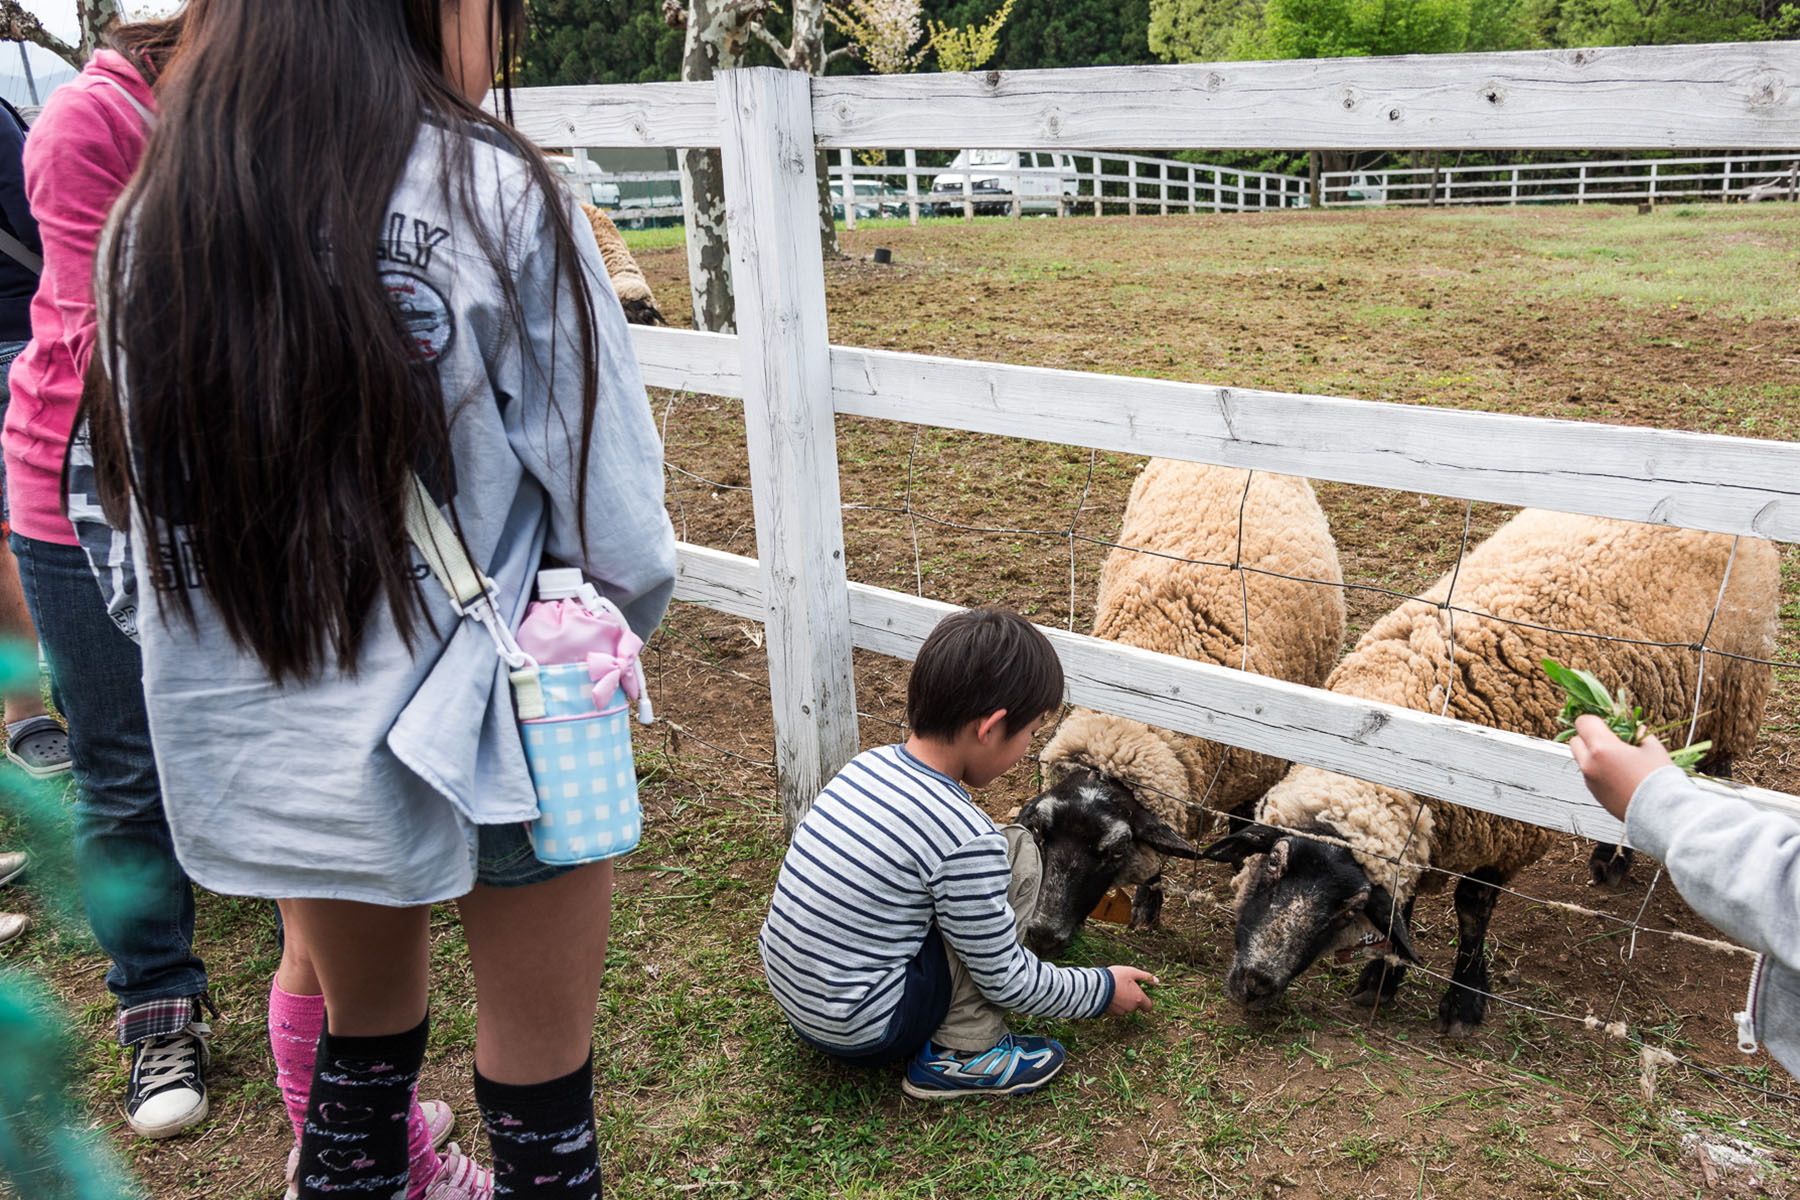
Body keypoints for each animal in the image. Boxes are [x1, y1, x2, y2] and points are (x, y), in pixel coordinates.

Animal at [1202, 507, 1778, 1036]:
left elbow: (1472, 909)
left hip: (1733, 688)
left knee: (1716, 765)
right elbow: (1406, 906)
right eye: (1272, 865)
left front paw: (1463, 1000)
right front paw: (1382, 979)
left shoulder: (1507, 831)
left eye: (1348, 910)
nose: (1254, 983)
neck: (1393, 739)